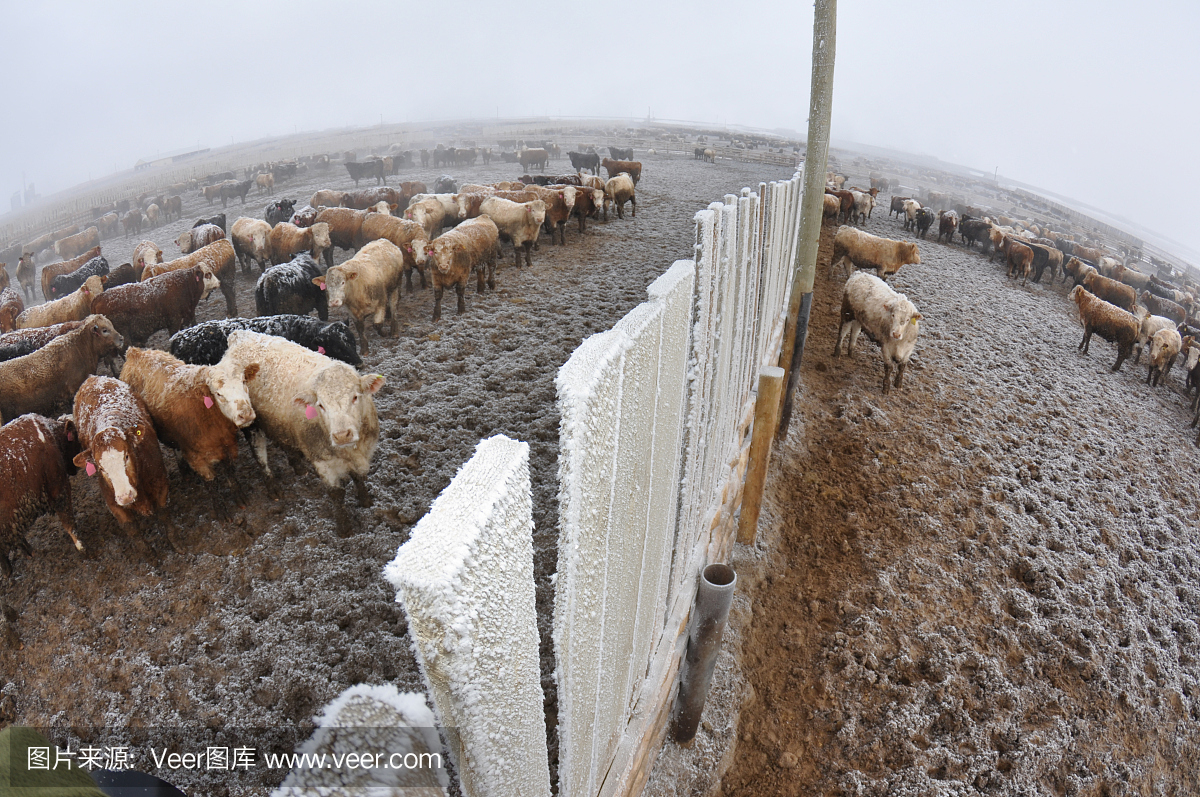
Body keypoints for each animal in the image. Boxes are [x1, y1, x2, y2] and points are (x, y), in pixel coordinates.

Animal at [71, 374, 168, 525]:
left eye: (126, 456)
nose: (125, 496)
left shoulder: (162, 488)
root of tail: (92, 378)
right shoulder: (116, 509)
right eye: (101, 468)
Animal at [218, 328, 381, 535]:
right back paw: (272, 486)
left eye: (355, 397)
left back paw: (297, 465)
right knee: (259, 453)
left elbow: (359, 478)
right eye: (321, 405)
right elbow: (337, 494)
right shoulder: (322, 461)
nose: (341, 435)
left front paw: (366, 501)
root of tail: (239, 335)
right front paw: (344, 528)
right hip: (250, 422)